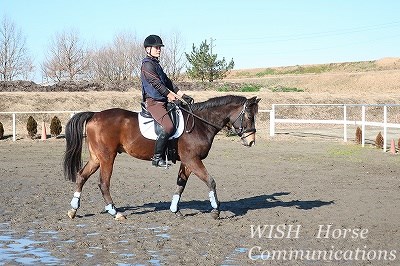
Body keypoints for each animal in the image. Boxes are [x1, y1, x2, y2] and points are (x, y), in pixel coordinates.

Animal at [63, 94, 260, 219]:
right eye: (249, 116)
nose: (251, 141)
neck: (200, 123)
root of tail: (94, 115)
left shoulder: (187, 162)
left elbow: (180, 185)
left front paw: (175, 210)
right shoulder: (193, 160)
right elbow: (211, 181)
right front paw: (216, 211)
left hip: (96, 157)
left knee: (81, 176)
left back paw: (73, 210)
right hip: (107, 157)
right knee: (103, 183)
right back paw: (115, 212)